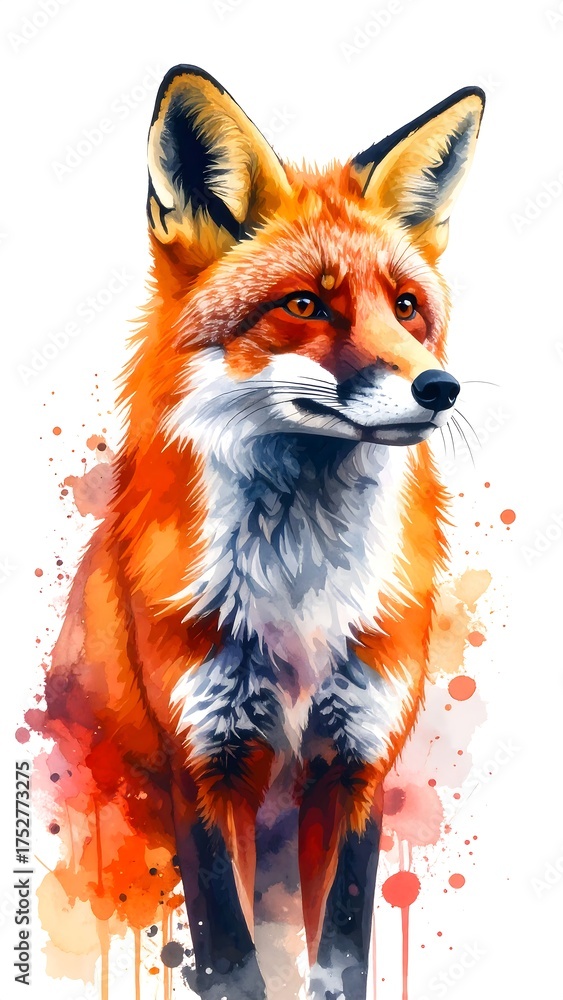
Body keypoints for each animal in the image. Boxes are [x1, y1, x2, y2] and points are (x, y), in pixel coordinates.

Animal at [40, 65, 484, 1000]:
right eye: (305, 304)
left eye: (406, 307)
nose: (440, 388)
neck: (299, 594)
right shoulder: (204, 764)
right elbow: (231, 960)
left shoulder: (356, 764)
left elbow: (341, 955)